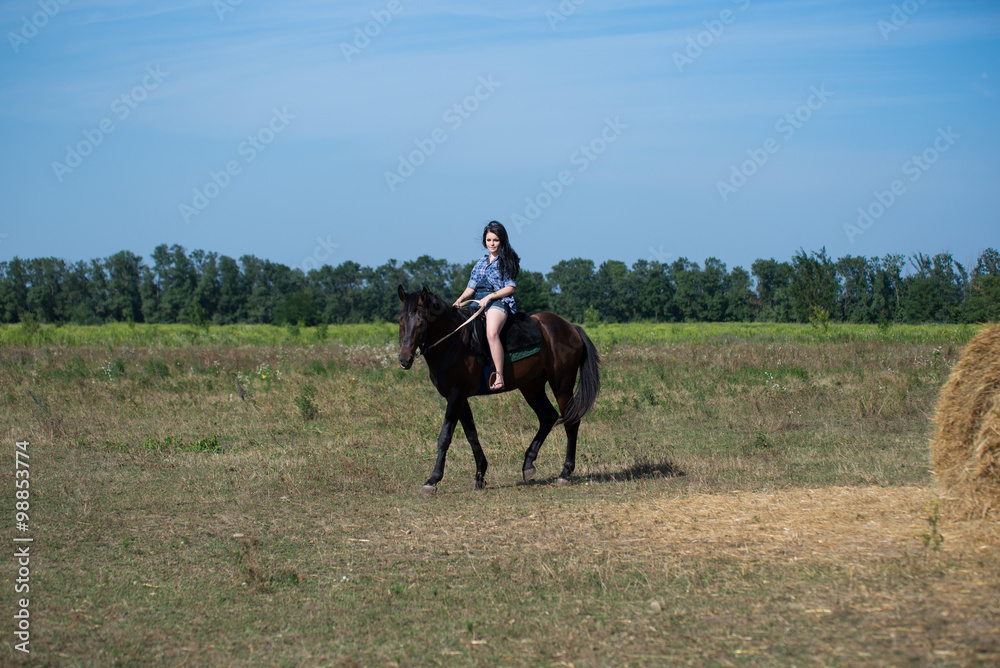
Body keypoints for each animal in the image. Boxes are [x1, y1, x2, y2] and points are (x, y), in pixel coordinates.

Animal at [396, 284, 600, 494]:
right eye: (400, 320)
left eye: (421, 322)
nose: (404, 359)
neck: (454, 342)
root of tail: (571, 327)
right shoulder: (460, 398)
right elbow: (471, 435)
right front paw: (480, 476)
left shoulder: (456, 396)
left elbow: (445, 437)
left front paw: (433, 479)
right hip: (531, 386)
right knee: (548, 417)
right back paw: (528, 464)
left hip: (562, 384)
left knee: (571, 421)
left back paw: (565, 473)